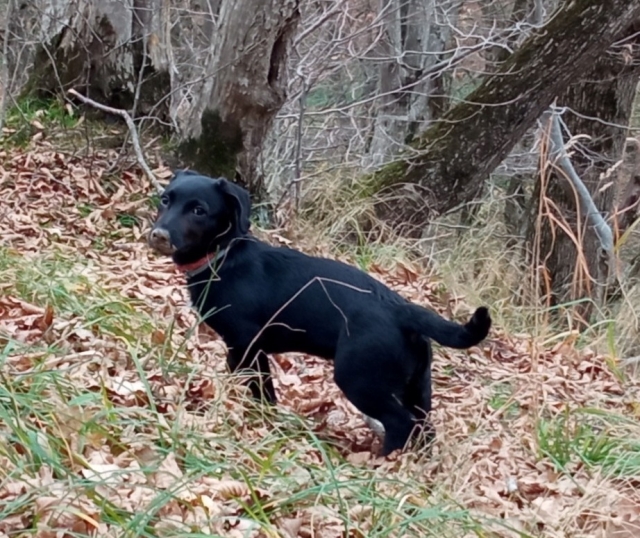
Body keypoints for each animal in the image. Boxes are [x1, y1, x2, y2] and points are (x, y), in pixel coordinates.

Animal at [149, 170, 490, 454]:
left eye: (199, 210)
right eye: (166, 199)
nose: (158, 235)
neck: (223, 258)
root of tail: (403, 311)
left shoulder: (249, 345)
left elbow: (263, 391)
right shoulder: (238, 351)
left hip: (360, 378)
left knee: (400, 423)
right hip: (416, 386)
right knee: (425, 428)